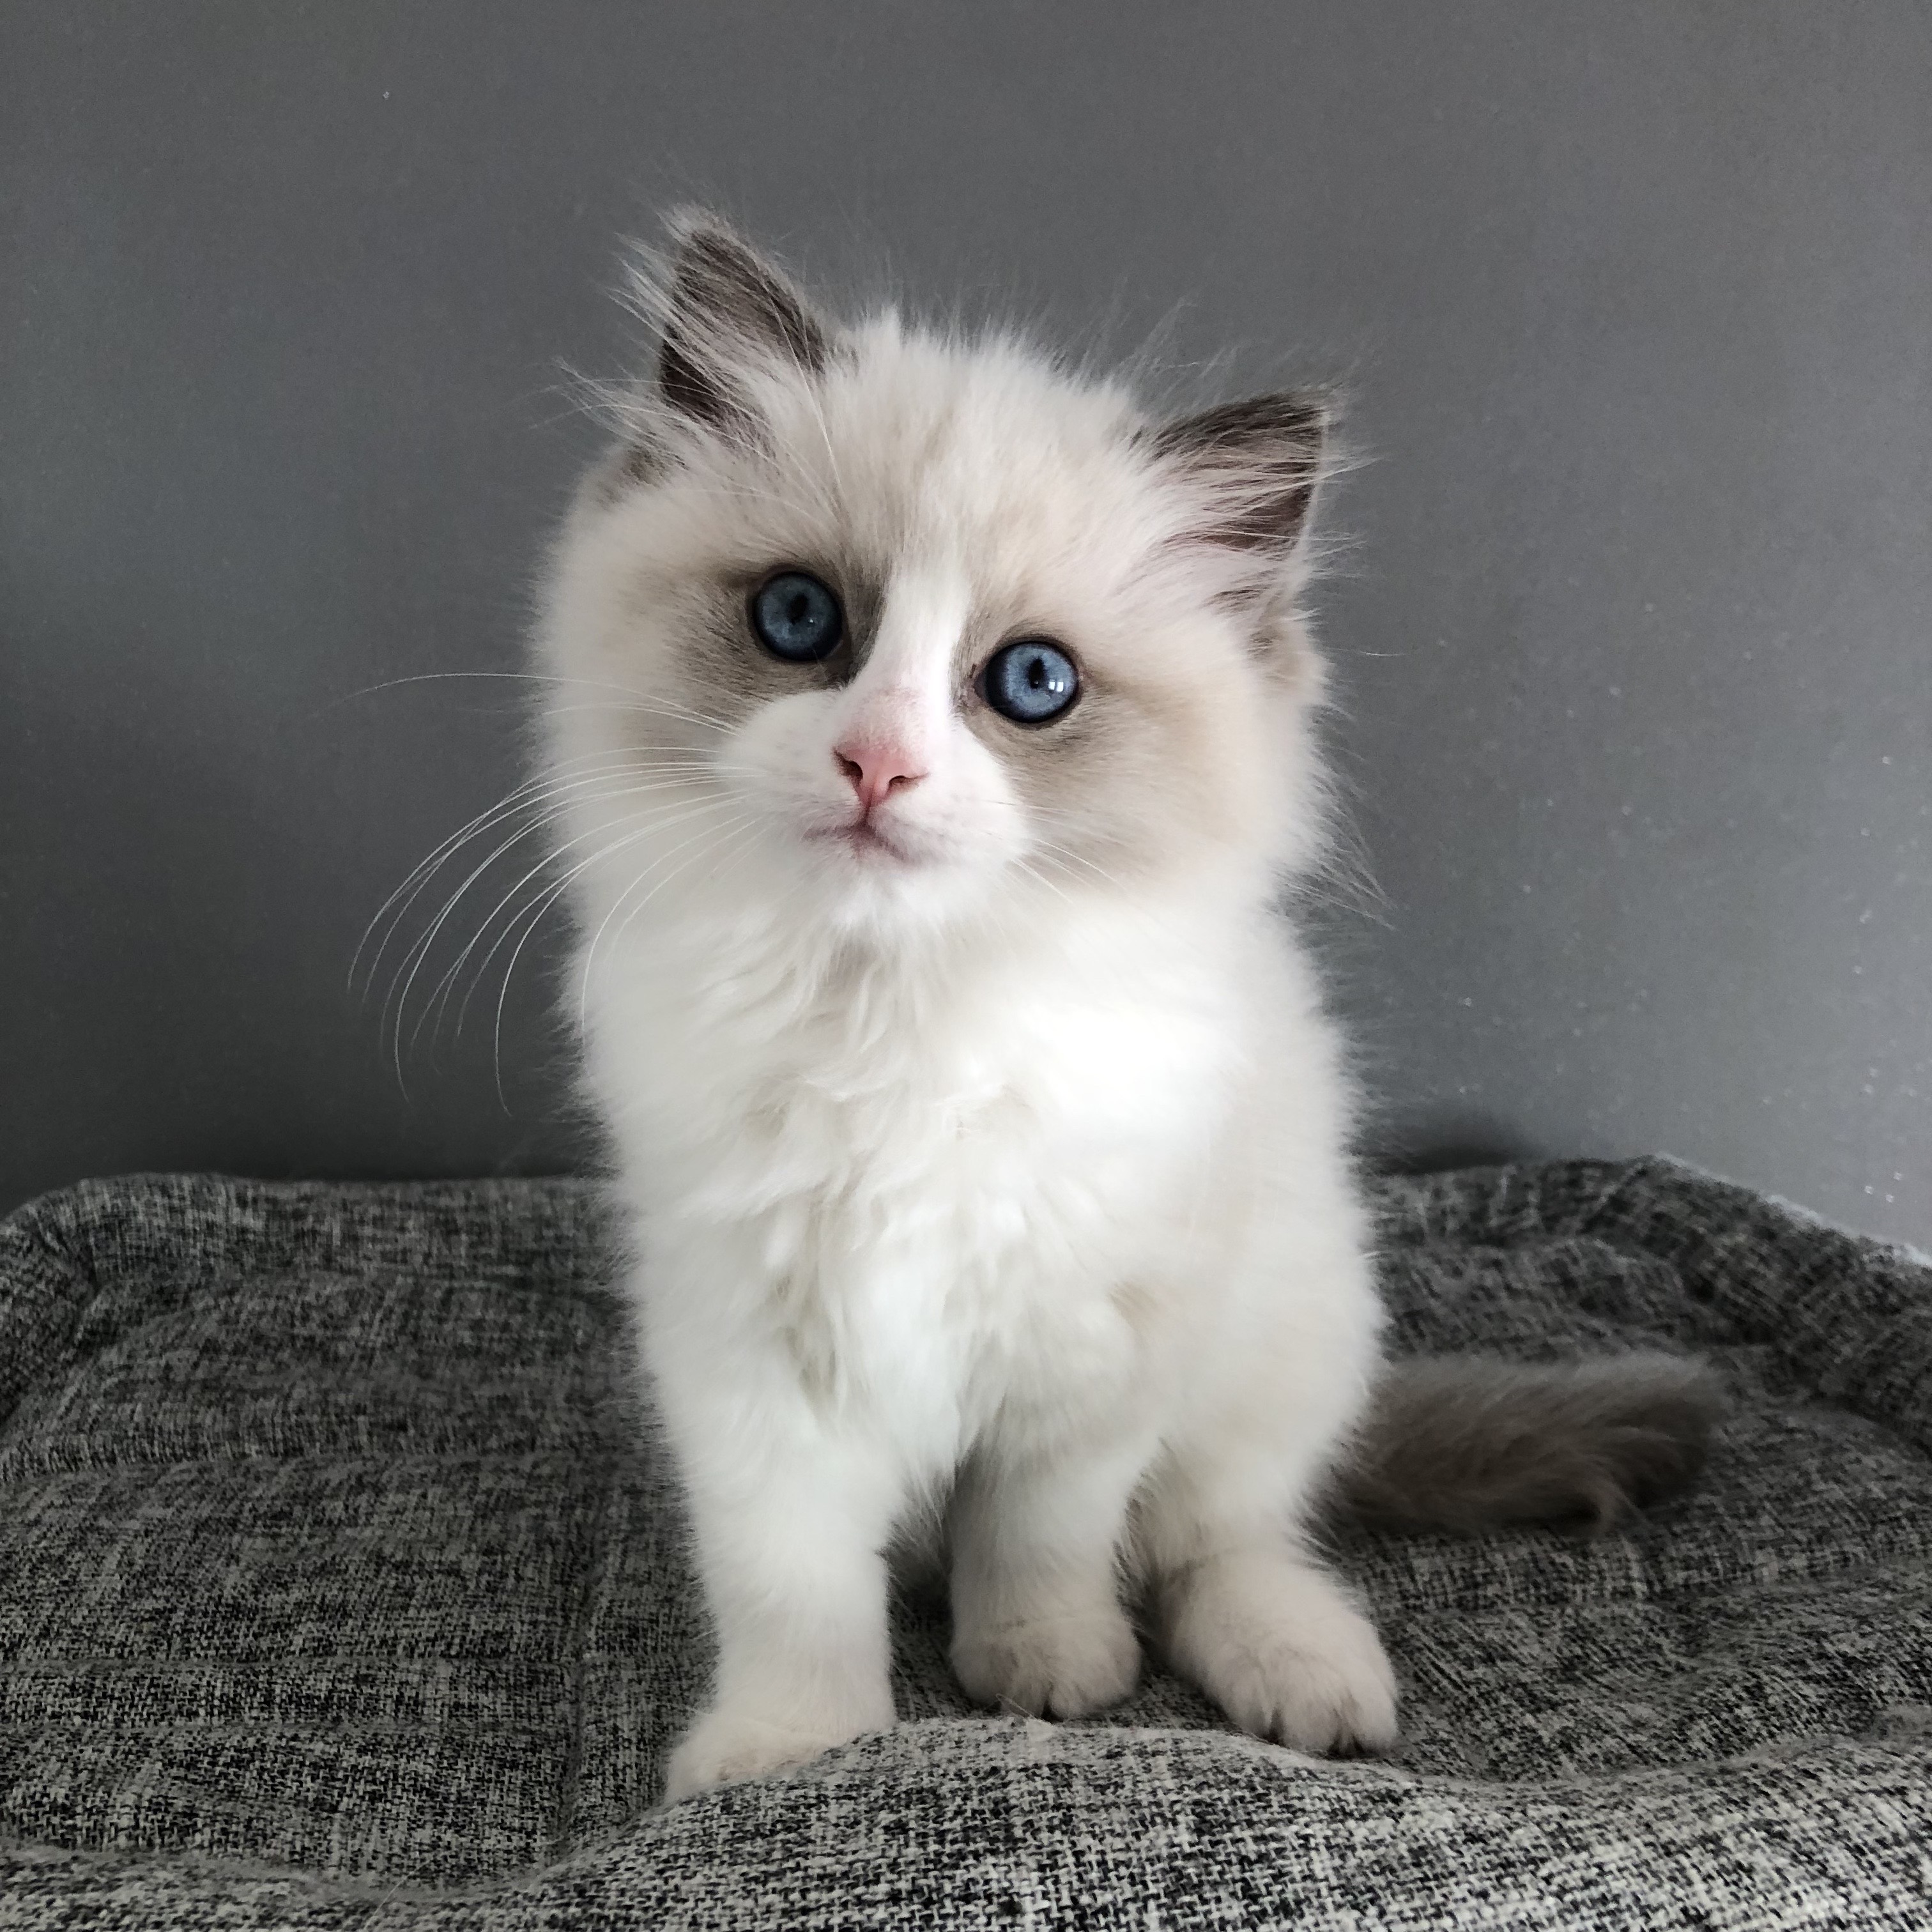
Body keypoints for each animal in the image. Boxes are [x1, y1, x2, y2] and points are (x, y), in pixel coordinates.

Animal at [533, 219, 1723, 1800]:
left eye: (1031, 684)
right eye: (799, 620)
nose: (878, 765)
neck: (903, 1015)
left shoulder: (1091, 1344)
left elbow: (1040, 1538)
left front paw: (1043, 1675)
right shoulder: (750, 1357)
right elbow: (796, 1586)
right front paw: (792, 1754)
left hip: (1286, 1328)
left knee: (1222, 1541)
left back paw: (1312, 1680)